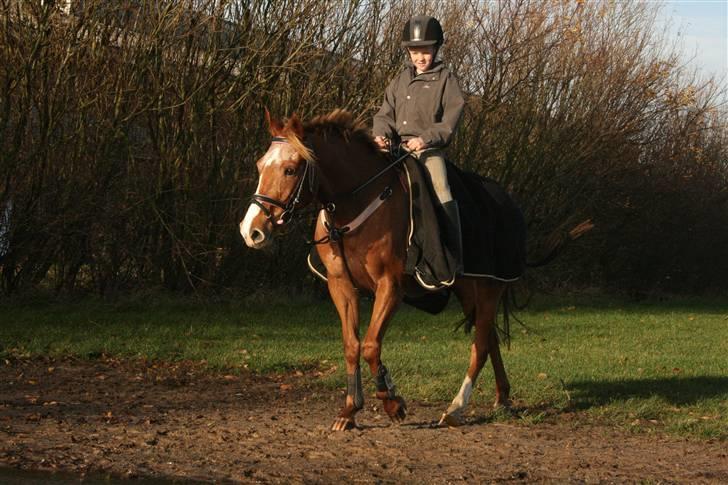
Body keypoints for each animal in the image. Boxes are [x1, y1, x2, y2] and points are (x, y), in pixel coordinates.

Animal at [240, 109, 512, 430]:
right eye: (261, 165)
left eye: (290, 170)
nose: (251, 231)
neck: (359, 204)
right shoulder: (341, 285)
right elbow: (352, 344)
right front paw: (349, 410)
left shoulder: (390, 286)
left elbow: (370, 345)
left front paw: (392, 401)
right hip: (467, 291)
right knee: (490, 338)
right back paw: (503, 397)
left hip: (489, 288)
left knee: (481, 344)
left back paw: (456, 409)